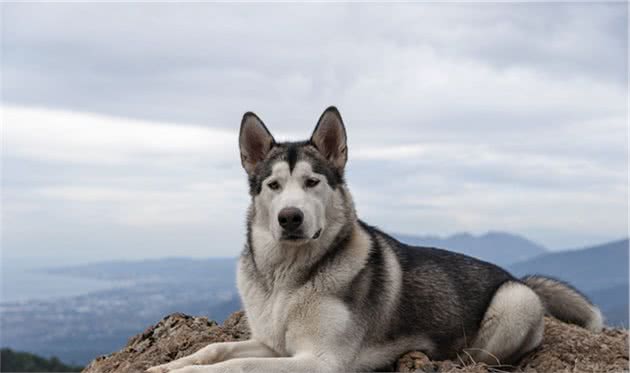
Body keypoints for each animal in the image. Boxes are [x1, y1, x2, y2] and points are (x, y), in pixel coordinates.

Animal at [149, 105, 608, 372]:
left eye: (312, 182)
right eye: (273, 186)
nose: (290, 218)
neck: (287, 279)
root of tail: (516, 276)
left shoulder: (320, 360)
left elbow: (234, 367)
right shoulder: (274, 345)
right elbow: (216, 351)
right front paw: (171, 365)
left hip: (513, 304)